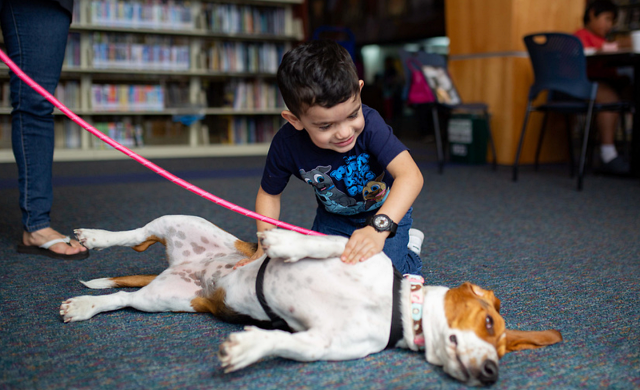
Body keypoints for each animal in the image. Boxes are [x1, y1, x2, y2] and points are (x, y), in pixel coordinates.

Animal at [58, 215, 560, 386]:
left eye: (502, 354)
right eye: (489, 323)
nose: (492, 373)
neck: (395, 307)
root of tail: (192, 268)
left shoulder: (323, 344)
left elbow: (282, 343)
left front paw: (247, 347)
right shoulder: (351, 246)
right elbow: (320, 243)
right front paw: (283, 245)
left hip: (165, 299)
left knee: (123, 299)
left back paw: (85, 305)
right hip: (183, 222)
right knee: (137, 234)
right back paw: (94, 237)